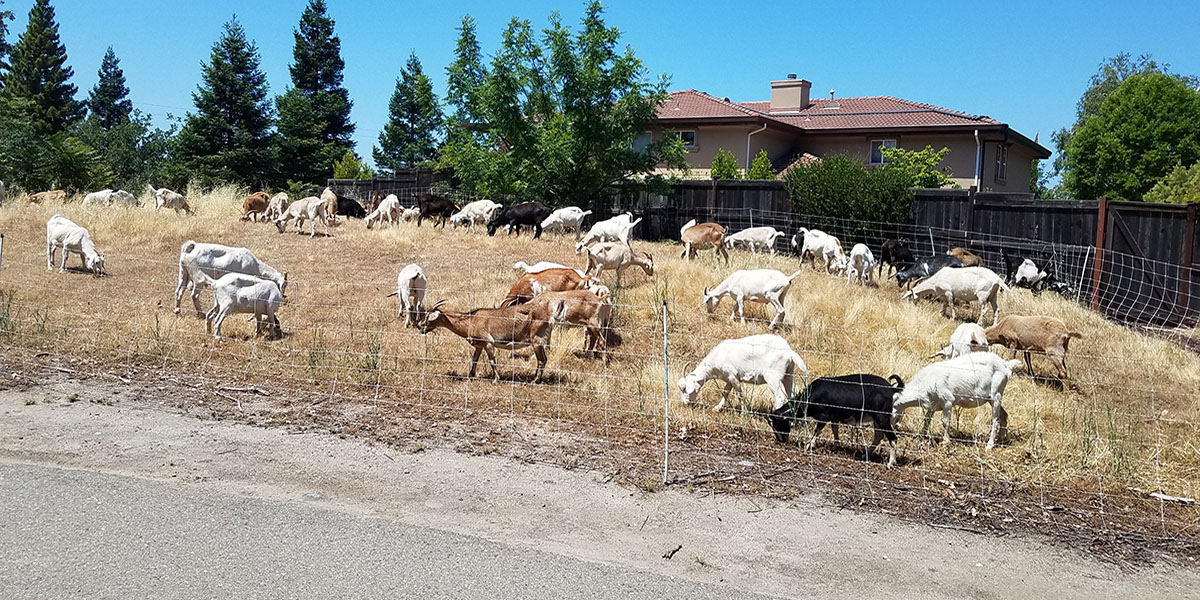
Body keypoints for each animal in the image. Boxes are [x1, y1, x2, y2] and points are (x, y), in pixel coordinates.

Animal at [420, 297, 568, 381]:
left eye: (428, 317)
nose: (420, 325)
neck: (471, 321)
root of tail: (550, 316)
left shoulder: (488, 343)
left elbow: (492, 361)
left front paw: (496, 379)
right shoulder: (479, 345)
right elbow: (474, 360)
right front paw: (470, 376)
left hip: (537, 341)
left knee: (542, 359)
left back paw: (535, 380)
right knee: (542, 360)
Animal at [676, 333, 806, 412]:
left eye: (686, 389)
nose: (685, 403)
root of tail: (789, 351)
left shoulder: (733, 375)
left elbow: (739, 394)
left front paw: (744, 411)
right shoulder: (729, 378)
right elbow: (725, 392)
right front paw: (717, 408)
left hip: (772, 377)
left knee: (779, 397)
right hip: (789, 374)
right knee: (791, 395)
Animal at [768, 374, 902, 468]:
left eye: (777, 424)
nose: (780, 440)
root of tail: (891, 389)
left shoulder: (824, 417)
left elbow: (817, 431)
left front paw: (808, 446)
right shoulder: (834, 418)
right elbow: (835, 430)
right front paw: (836, 446)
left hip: (881, 417)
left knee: (892, 438)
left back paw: (890, 463)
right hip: (877, 419)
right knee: (878, 435)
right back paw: (866, 454)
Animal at [892, 350, 1022, 451]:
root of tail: (1006, 364)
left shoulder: (948, 401)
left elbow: (945, 422)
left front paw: (945, 442)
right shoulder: (933, 404)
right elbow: (927, 419)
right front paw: (922, 435)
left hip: (996, 395)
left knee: (996, 420)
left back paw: (990, 445)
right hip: (992, 398)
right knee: (1004, 415)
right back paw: (1001, 439)